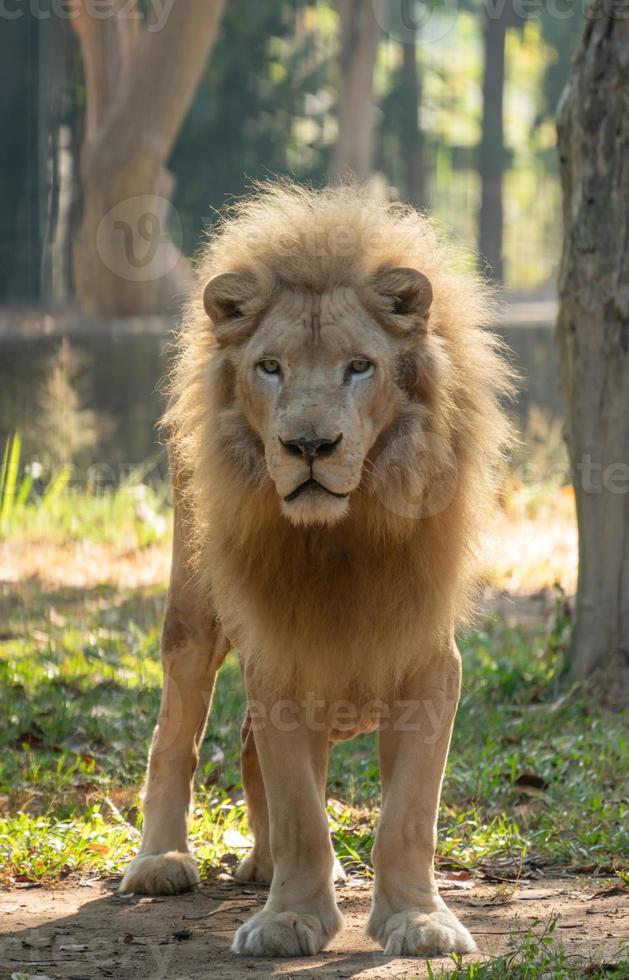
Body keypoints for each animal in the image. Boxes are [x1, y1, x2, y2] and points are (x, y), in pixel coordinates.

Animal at [118, 182, 510, 956]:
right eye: (270, 367)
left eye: (359, 366)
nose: (308, 446)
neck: (341, 541)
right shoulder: (280, 660)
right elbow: (304, 810)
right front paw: (289, 919)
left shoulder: (429, 666)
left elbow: (406, 818)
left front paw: (418, 921)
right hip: (194, 613)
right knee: (175, 736)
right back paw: (161, 862)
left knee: (245, 747)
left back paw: (261, 866)